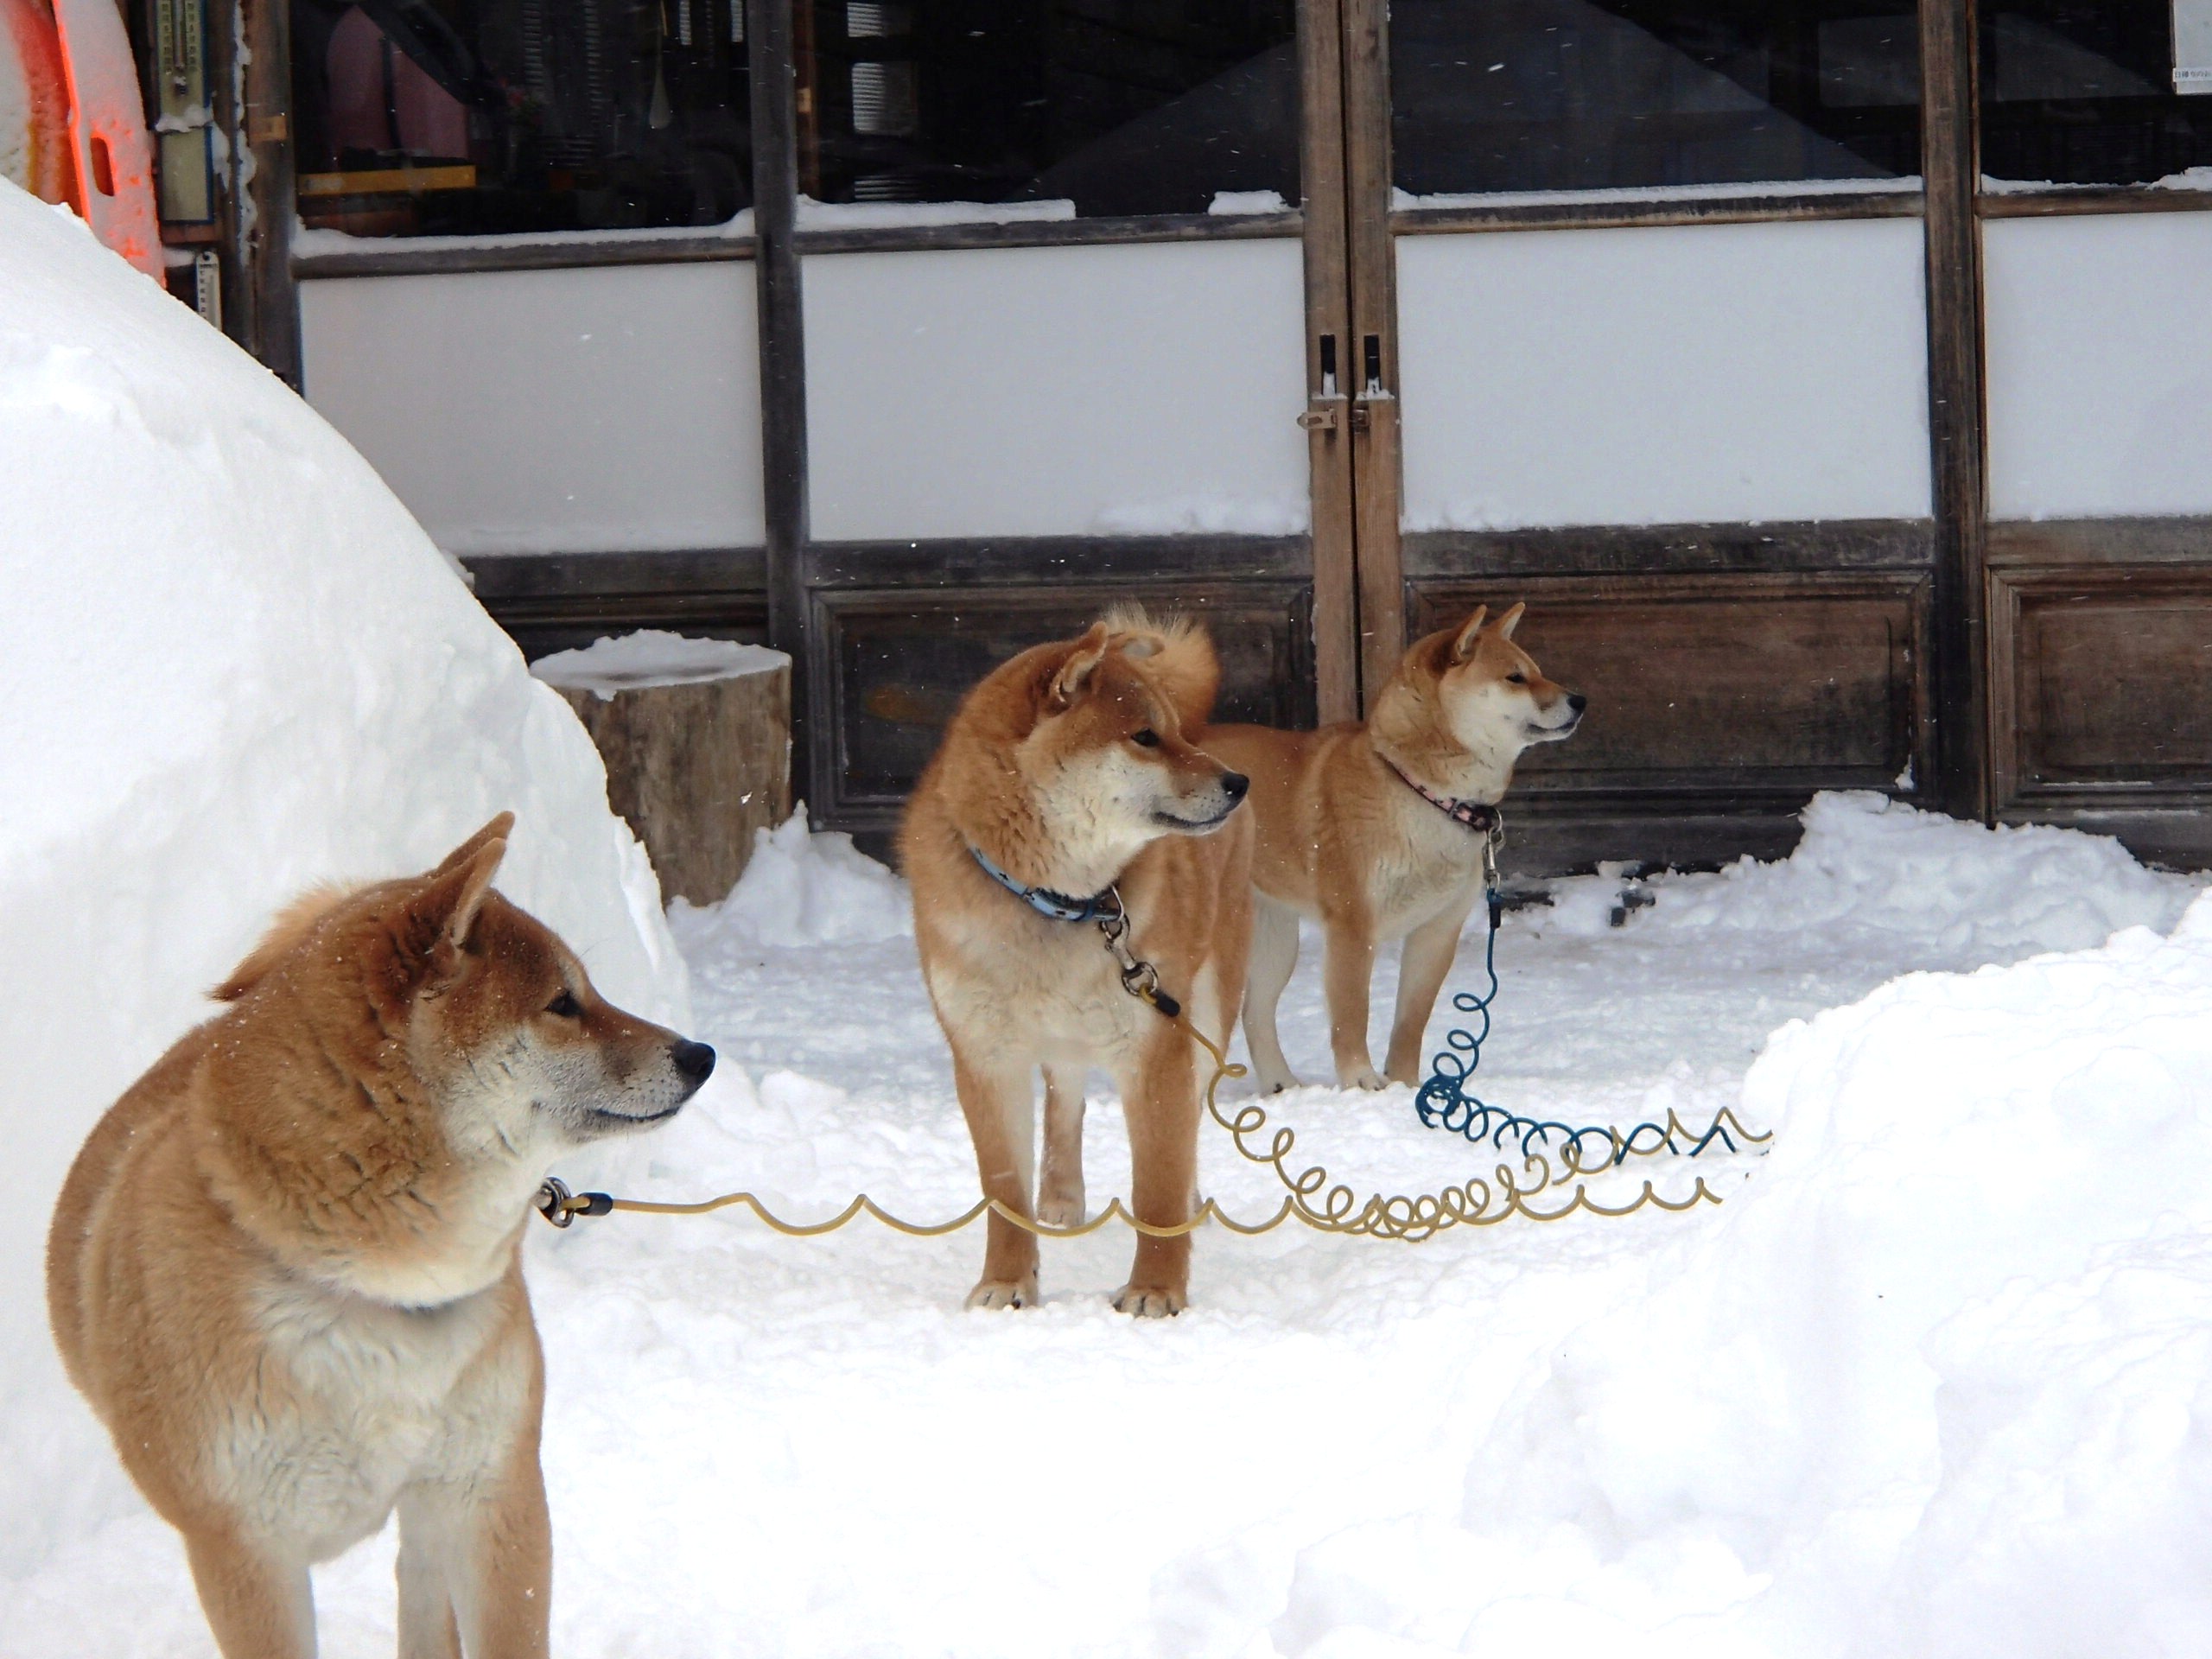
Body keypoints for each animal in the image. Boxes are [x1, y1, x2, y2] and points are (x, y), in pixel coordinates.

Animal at [45, 823, 716, 1659]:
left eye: (584, 990)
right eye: (563, 1003)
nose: (700, 1055)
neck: (373, 1288)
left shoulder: (492, 1492)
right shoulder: (244, 1552)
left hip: (430, 1513)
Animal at [893, 614, 1247, 1327]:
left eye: (1174, 732)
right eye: (1144, 736)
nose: (1238, 783)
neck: (1055, 904)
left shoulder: (1157, 1048)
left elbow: (1157, 1190)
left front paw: (1156, 1290)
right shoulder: (985, 1055)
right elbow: (1003, 1194)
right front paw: (1006, 1284)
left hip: (1208, 1011)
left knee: (1185, 1125)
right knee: (1065, 1095)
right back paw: (1058, 1196)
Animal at [1203, 606, 1583, 1096]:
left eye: (1537, 671)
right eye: (1515, 678)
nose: (1580, 700)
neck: (1424, 793)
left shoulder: (1437, 931)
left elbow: (1411, 1021)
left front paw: (1407, 1085)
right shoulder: (1352, 926)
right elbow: (1352, 1016)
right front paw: (1362, 1082)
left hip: (1275, 939)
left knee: (1256, 1014)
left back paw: (1282, 1086)